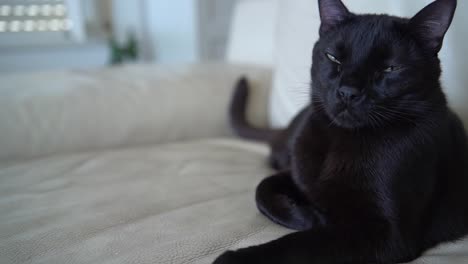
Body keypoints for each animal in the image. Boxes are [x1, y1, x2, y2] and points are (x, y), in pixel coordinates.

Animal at [216, 0, 468, 262]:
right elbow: (262, 188)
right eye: (333, 58)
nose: (347, 92)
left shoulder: (387, 234)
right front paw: (308, 217)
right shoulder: (296, 176)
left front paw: (234, 258)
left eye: (390, 68)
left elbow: (301, 245)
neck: (341, 140)